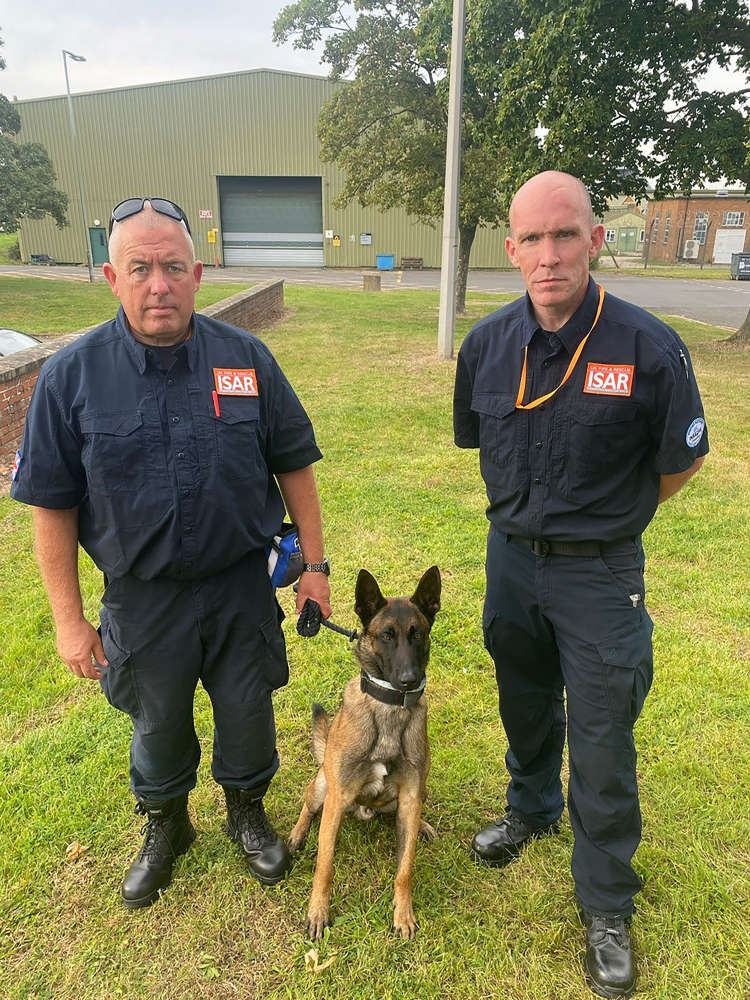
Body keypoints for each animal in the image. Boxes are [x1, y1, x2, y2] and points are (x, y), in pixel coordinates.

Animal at [286, 568, 440, 940]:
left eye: (418, 634)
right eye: (386, 636)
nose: (408, 679)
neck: (389, 708)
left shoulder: (411, 794)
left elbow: (405, 869)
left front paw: (403, 914)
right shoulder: (338, 796)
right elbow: (324, 864)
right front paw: (318, 912)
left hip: (415, 795)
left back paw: (423, 825)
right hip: (323, 786)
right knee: (308, 808)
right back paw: (297, 835)